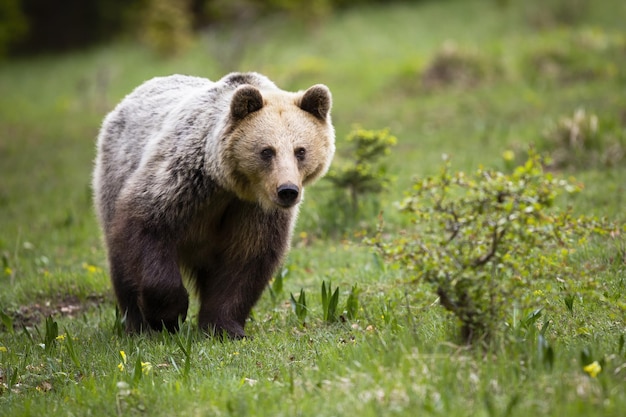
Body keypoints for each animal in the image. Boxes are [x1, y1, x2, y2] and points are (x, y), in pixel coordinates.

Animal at [92, 71, 334, 336]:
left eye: (300, 151)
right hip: (114, 174)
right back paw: (136, 325)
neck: (228, 185)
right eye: (267, 151)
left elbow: (245, 261)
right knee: (121, 264)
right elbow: (147, 226)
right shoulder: (182, 183)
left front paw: (224, 327)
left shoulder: (252, 211)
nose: (287, 190)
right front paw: (167, 316)